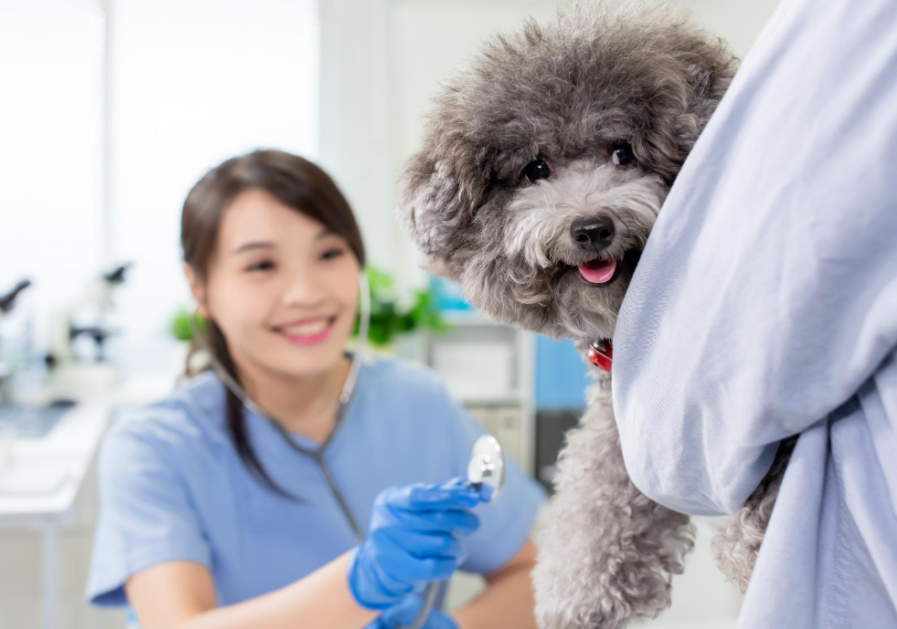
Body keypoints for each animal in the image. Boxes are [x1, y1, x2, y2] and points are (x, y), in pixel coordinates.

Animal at [396, 2, 796, 624]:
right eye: (536, 169)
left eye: (623, 151)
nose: (591, 228)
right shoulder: (619, 414)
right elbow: (602, 492)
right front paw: (579, 591)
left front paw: (755, 544)